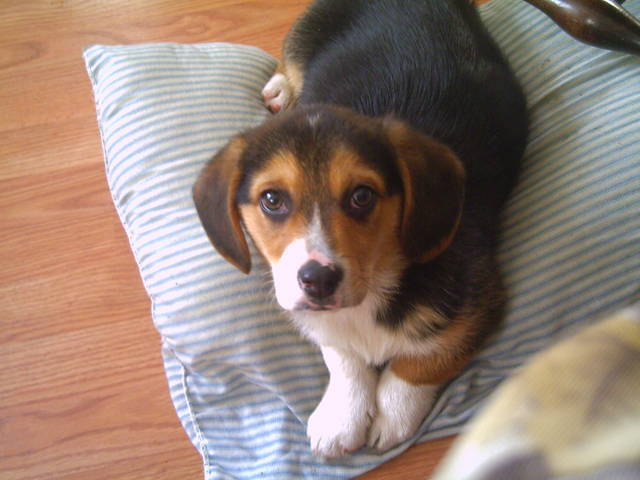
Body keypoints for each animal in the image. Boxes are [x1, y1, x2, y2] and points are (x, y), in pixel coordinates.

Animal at [193, 0, 527, 458]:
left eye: (362, 196)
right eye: (272, 200)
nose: (317, 280)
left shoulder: (482, 304)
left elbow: (423, 360)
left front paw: (393, 414)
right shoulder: (318, 322)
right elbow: (342, 358)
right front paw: (342, 416)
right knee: (287, 61)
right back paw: (280, 88)